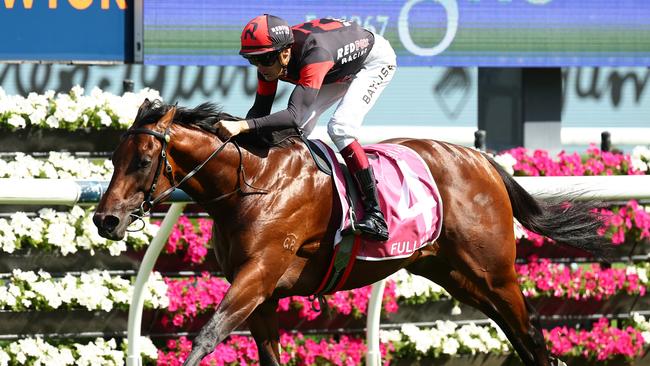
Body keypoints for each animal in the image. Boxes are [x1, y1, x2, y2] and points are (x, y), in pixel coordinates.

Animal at [92, 98, 608, 364]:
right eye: (114, 158)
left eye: (142, 160)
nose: (105, 219)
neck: (254, 181)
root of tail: (483, 161)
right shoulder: (260, 291)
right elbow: (267, 353)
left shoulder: (259, 273)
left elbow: (208, 335)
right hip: (460, 276)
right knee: (518, 335)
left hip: (494, 271)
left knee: (532, 336)